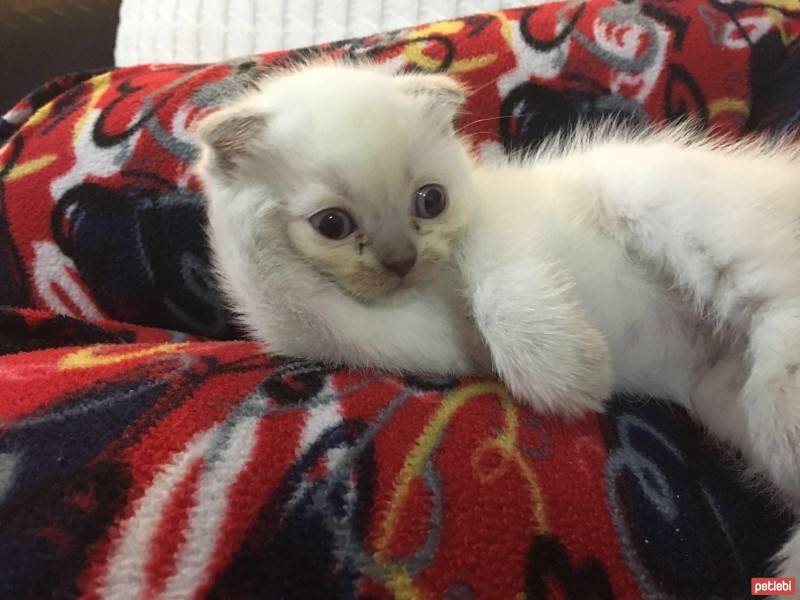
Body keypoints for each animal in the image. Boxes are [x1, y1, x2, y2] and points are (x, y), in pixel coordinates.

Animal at [192, 62, 800, 576]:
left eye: (430, 200)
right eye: (332, 224)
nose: (401, 260)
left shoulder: (505, 222)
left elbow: (494, 281)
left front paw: (566, 376)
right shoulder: (385, 337)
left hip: (659, 198)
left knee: (775, 290)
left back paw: (783, 413)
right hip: (720, 395)